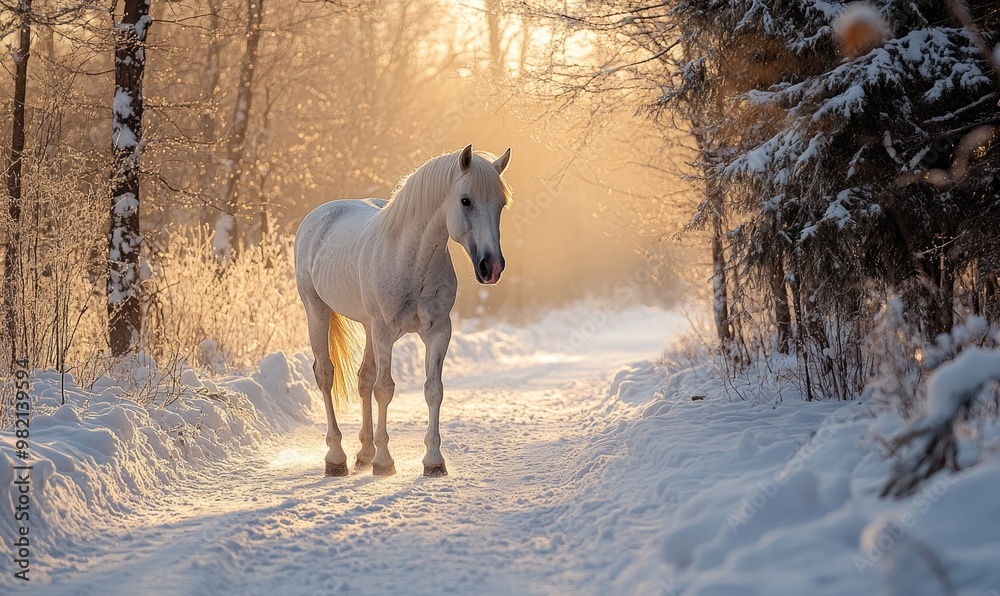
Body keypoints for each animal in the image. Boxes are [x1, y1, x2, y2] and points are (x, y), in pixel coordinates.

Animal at [294, 144, 512, 477]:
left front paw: (433, 460)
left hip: (367, 326)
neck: (413, 262)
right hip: (317, 311)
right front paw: (385, 462)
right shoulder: (385, 331)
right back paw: (336, 457)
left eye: (501, 203)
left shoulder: (438, 331)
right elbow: (385, 389)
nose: (493, 267)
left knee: (364, 378)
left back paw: (364, 453)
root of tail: (317, 218)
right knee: (326, 375)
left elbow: (433, 389)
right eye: (465, 200)